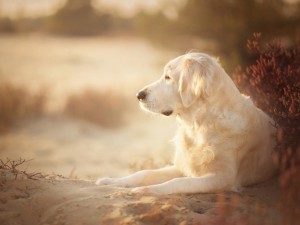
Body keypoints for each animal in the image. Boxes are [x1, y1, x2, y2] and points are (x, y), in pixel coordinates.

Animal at [96, 51, 276, 194]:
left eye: (168, 77)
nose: (138, 95)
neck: (199, 126)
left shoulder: (223, 177)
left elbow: (179, 182)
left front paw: (146, 190)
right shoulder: (182, 165)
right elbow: (145, 173)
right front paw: (110, 181)